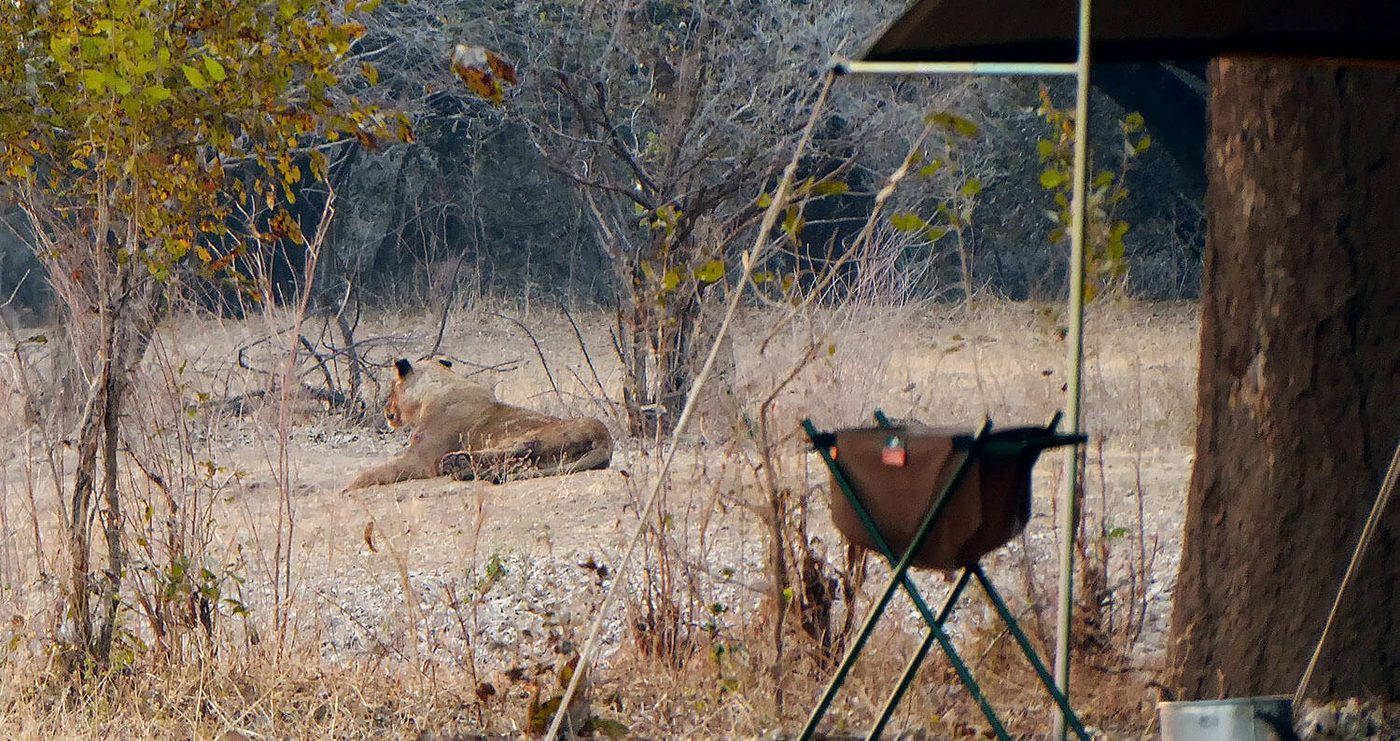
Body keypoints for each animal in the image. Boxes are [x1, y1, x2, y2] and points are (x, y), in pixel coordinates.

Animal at [343, 357, 612, 491]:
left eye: (392, 387)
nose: (386, 412)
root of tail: (606, 440)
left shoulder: (421, 460)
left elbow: (375, 472)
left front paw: (349, 488)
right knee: (516, 465)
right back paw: (465, 470)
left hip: (532, 434)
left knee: (520, 451)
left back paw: (457, 463)